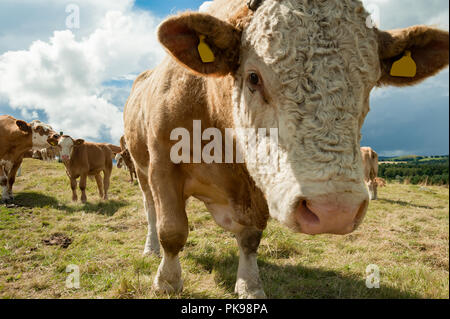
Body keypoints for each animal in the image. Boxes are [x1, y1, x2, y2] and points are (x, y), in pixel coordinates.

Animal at [124, 0, 450, 300]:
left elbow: (250, 237)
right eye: (254, 77)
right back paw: (151, 248)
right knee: (151, 211)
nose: (334, 210)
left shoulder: (258, 187)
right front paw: (167, 281)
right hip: (141, 169)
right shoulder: (163, 165)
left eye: (369, 85)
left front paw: (250, 286)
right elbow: (172, 230)